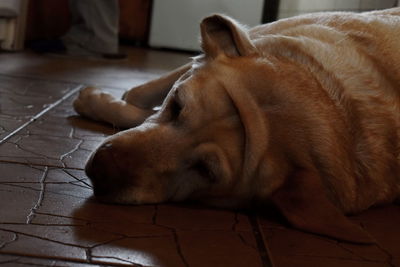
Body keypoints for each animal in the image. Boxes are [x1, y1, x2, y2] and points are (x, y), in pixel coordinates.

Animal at [73, 8, 398, 244]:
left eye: (206, 170)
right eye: (176, 105)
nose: (102, 168)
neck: (333, 106)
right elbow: (139, 94)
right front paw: (97, 100)